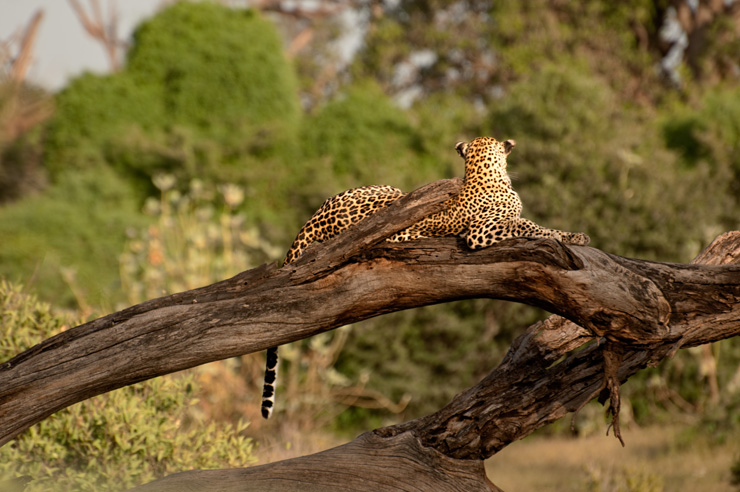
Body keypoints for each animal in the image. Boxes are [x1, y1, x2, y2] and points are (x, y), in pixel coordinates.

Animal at [261, 136, 590, 419]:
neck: (480, 173)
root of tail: (316, 216)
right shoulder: (482, 232)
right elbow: (530, 225)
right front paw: (570, 235)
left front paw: (572, 235)